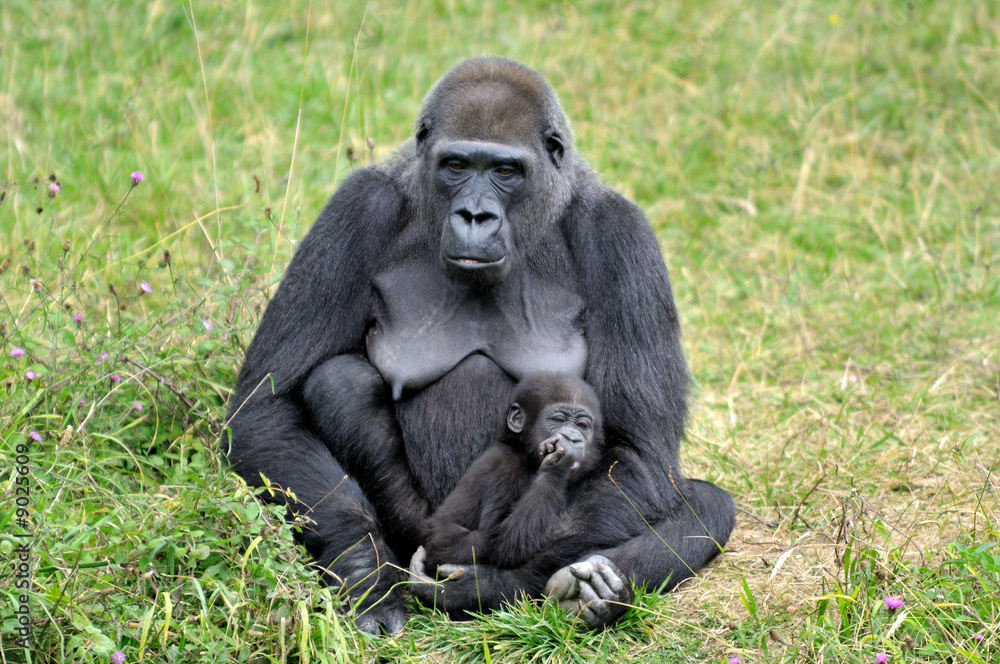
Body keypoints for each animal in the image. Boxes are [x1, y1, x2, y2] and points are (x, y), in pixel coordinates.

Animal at [420, 370, 604, 572]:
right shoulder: (504, 470)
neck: (524, 453)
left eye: (582, 426)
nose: (573, 438)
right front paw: (556, 465)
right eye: (559, 420)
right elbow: (500, 540)